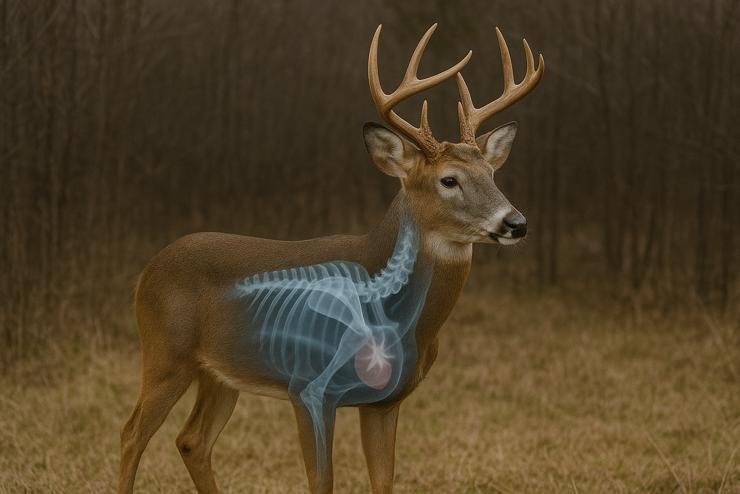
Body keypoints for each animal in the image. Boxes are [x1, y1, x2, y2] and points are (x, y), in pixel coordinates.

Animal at [118, 23, 543, 494]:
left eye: (492, 173)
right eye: (449, 180)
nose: (516, 222)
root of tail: (148, 271)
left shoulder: (384, 401)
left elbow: (384, 482)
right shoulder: (308, 386)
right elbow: (322, 481)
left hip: (219, 373)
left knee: (192, 440)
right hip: (165, 353)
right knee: (131, 434)